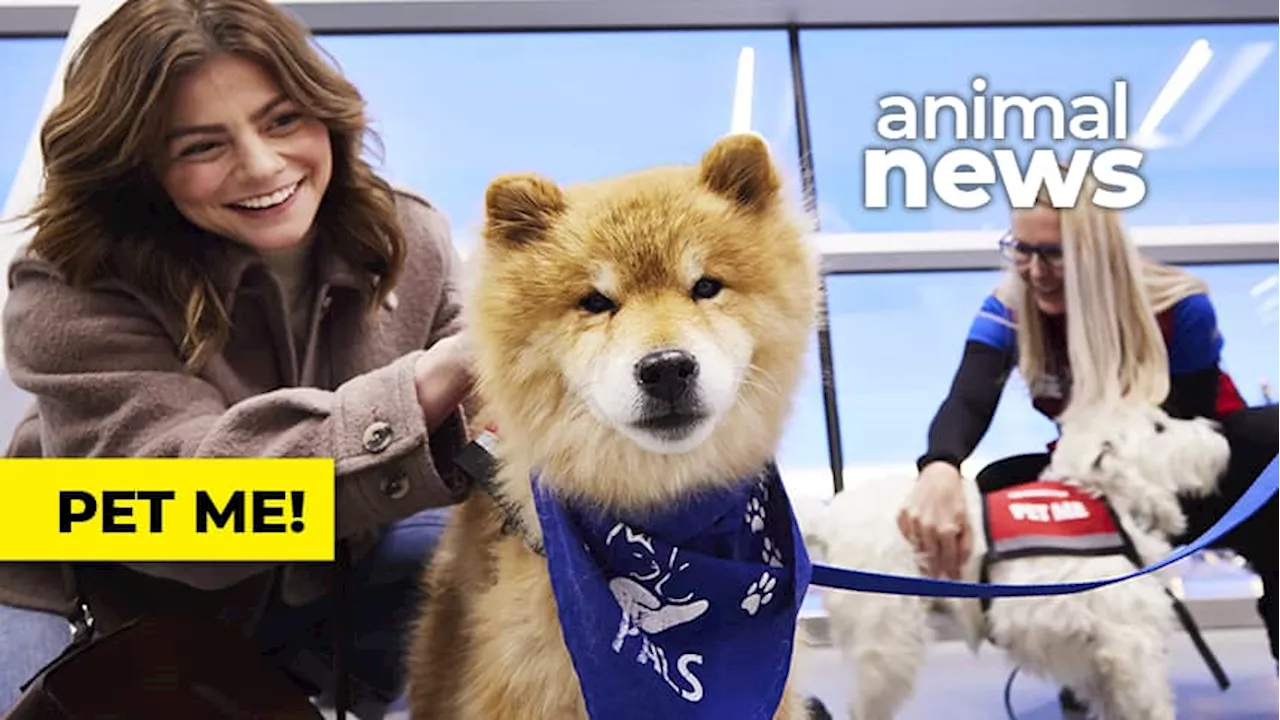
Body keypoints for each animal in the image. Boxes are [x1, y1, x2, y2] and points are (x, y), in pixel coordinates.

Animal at [798, 404, 1228, 717]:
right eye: (1159, 427)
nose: (1217, 431)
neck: (1107, 500)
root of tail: (831, 518)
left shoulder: (1102, 664)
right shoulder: (1131, 647)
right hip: (886, 646)